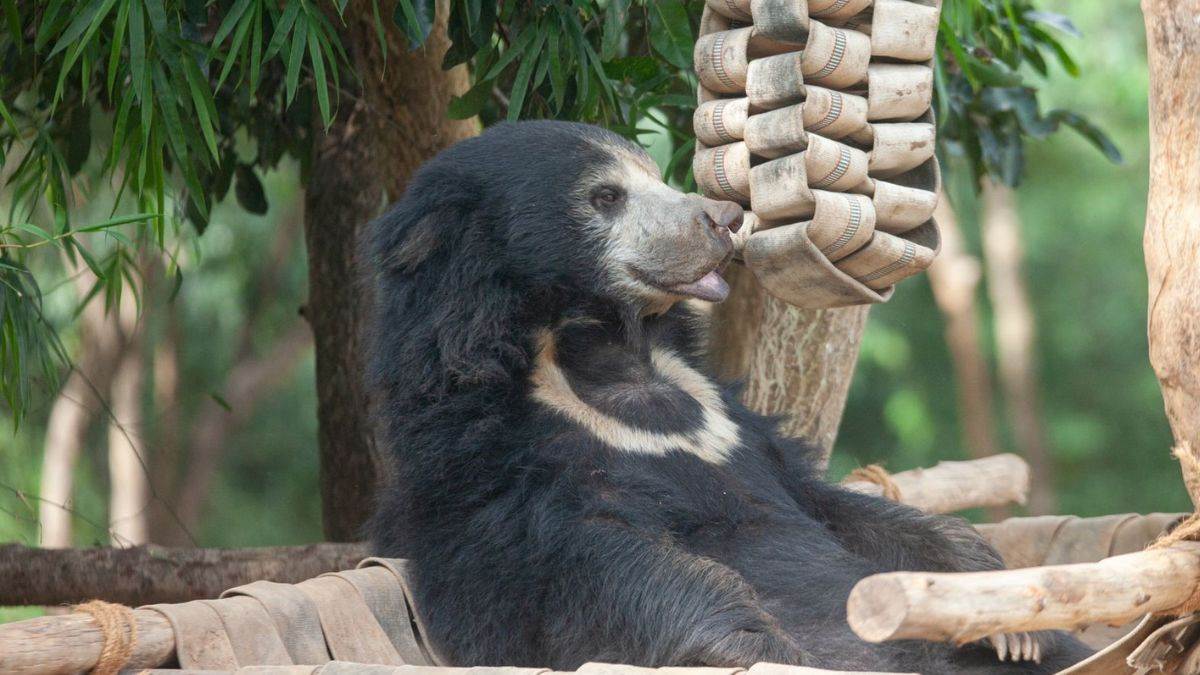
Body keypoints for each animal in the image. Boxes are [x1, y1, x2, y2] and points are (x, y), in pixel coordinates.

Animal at [362, 120, 1092, 674]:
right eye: (605, 196)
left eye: (654, 174)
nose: (723, 216)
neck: (608, 356)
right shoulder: (496, 470)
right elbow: (603, 567)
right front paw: (776, 649)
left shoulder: (736, 428)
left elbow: (858, 515)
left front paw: (1008, 620)